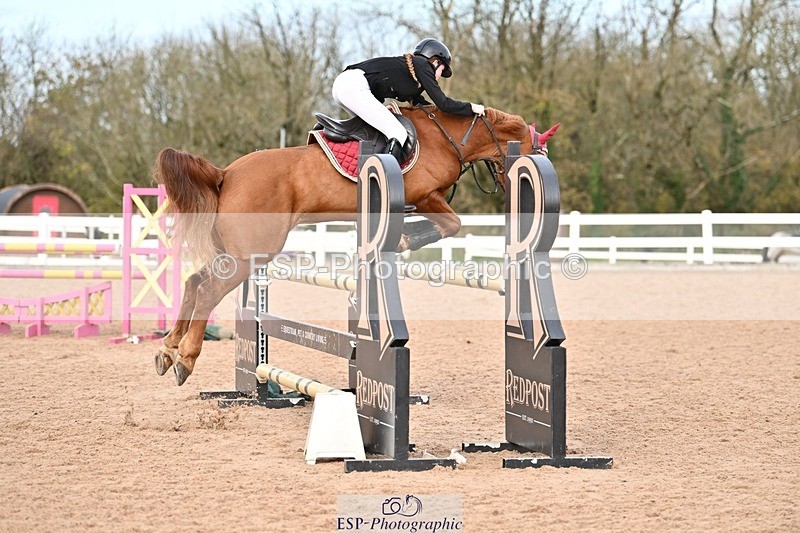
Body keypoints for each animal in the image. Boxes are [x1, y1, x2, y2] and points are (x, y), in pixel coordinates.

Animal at [153, 105, 556, 385]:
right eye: (537, 154)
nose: (510, 189)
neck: (447, 136)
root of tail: (225, 174)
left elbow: (446, 226)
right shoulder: (426, 196)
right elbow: (452, 225)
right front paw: (406, 239)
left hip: (235, 254)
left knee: (194, 282)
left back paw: (168, 349)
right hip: (250, 256)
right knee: (208, 290)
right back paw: (185, 358)